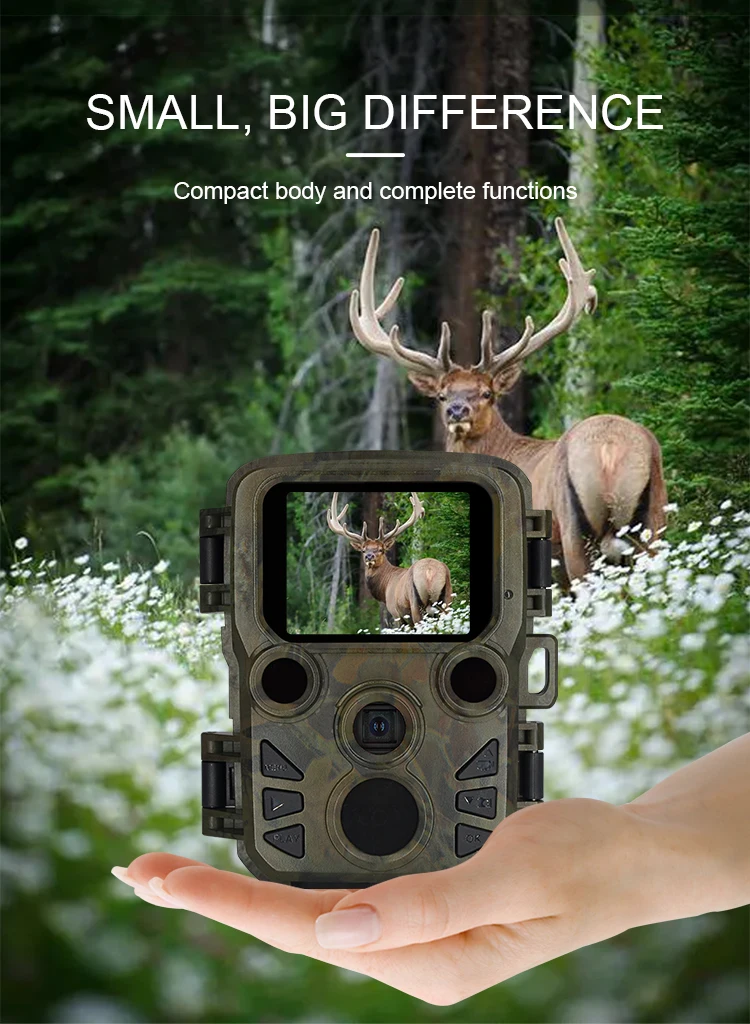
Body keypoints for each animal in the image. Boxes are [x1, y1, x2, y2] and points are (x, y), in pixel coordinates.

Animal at [326, 491, 452, 625]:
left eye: (381, 549)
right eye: (363, 550)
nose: (369, 556)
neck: (385, 586)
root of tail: (429, 572)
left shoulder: (395, 612)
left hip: (415, 605)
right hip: (447, 599)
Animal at [349, 220, 667, 584]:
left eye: (487, 393)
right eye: (443, 395)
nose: (457, 411)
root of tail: (609, 450)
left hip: (572, 531)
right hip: (655, 519)